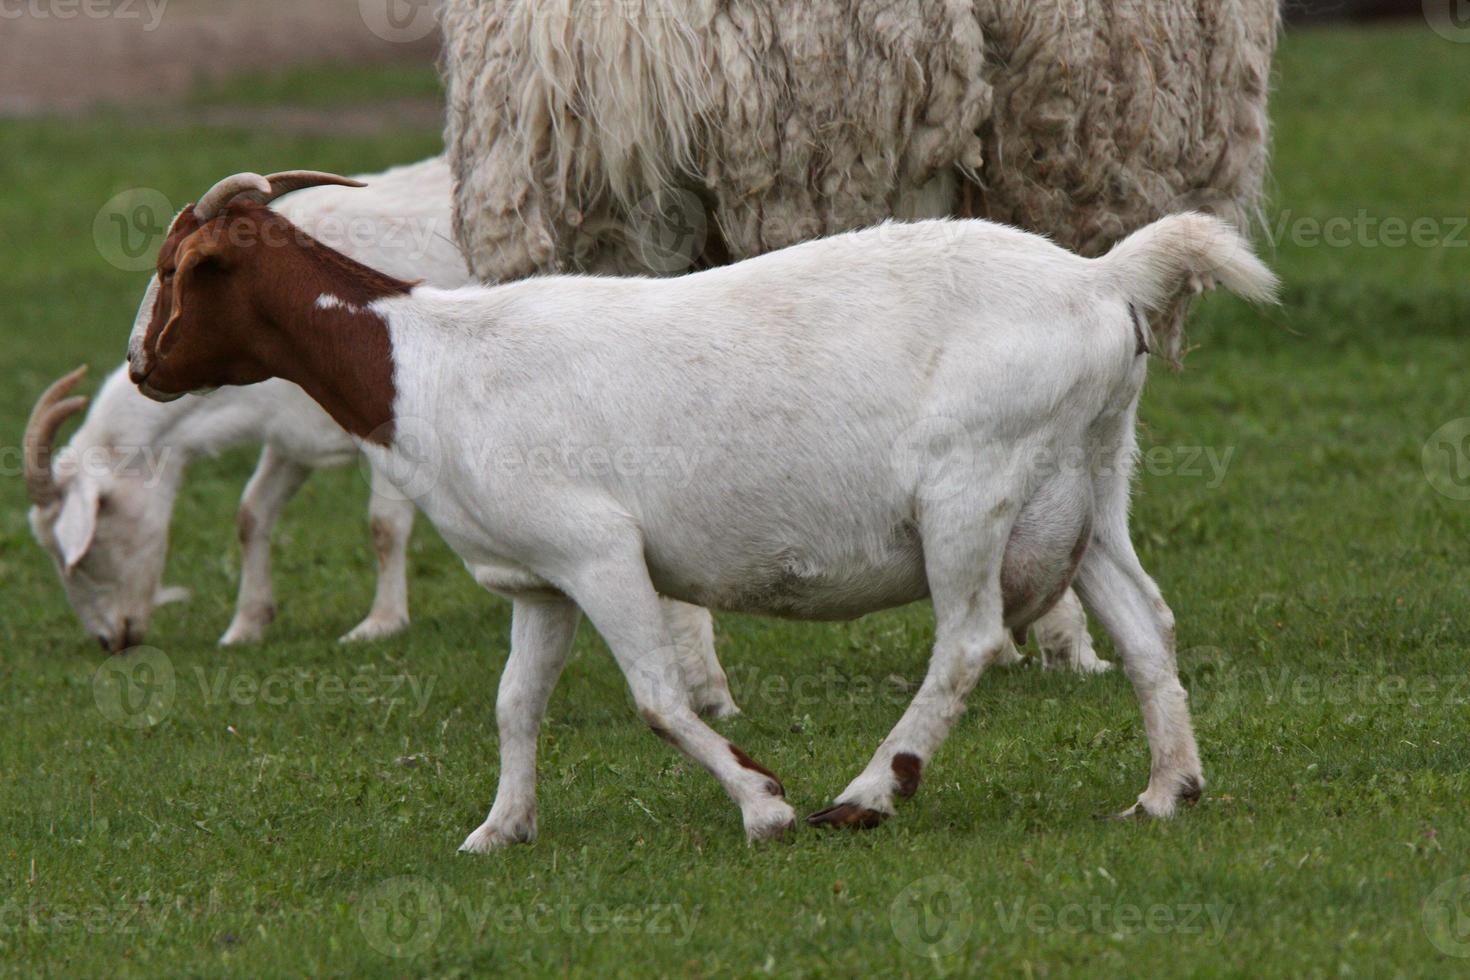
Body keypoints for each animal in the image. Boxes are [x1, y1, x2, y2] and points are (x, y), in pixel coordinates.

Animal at [126, 172, 1275, 846]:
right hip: (1087, 481)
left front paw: (763, 804)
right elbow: (514, 703)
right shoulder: (540, 579)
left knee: (969, 640)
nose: (141, 366)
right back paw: (1167, 789)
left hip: (972, 485)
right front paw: (500, 828)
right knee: (1145, 622)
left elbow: (658, 698)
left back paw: (868, 791)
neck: (431, 360)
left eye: (179, 269)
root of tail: (1102, 277)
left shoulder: (598, 552)